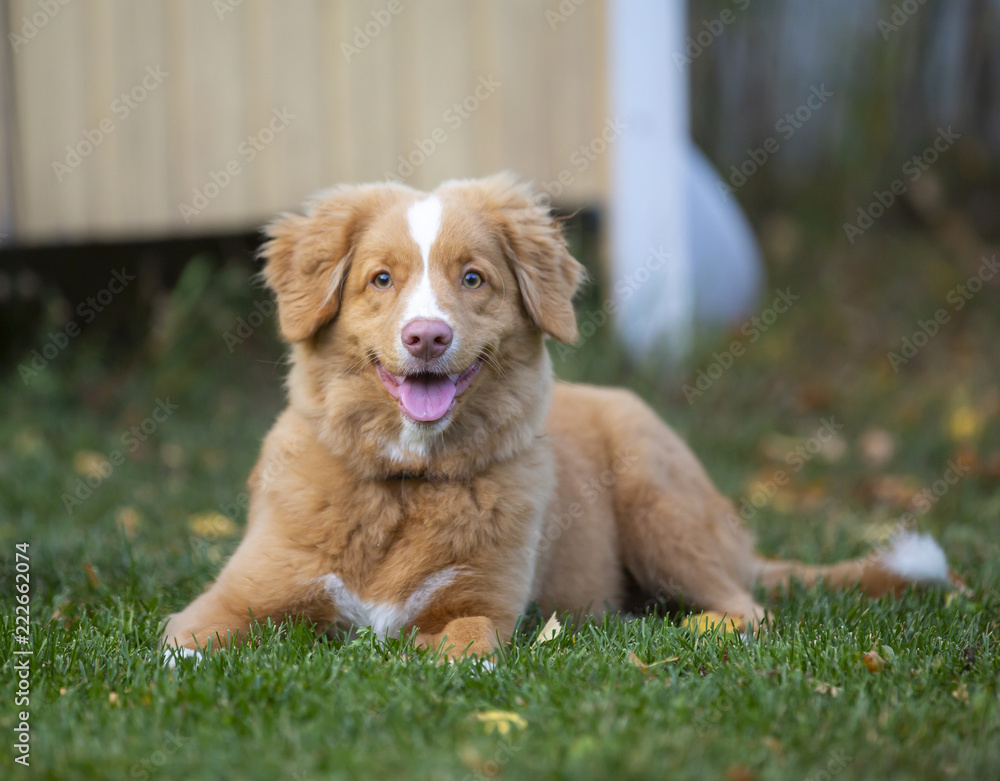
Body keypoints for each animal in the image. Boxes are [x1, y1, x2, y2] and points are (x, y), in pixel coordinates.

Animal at [162, 174, 960, 660]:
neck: (405, 484)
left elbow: (460, 645)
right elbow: (184, 641)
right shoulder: (235, 596)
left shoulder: (482, 604)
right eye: (380, 279)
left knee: (748, 608)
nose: (427, 338)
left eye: (473, 278)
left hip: (656, 498)